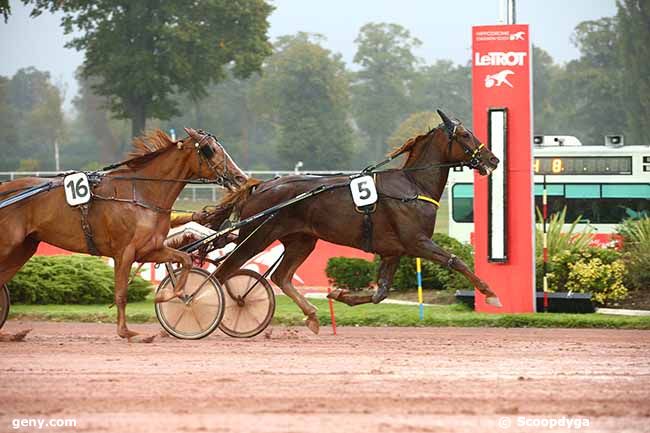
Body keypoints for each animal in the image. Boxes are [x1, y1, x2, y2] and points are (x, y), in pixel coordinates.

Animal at [0, 128, 248, 340]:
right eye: (209, 149)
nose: (240, 178)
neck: (141, 194)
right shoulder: (124, 252)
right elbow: (121, 293)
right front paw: (127, 332)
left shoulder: (150, 249)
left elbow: (185, 259)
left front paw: (165, 296)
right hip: (9, 246)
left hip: (23, 248)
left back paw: (9, 334)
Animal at [177, 110, 502, 330]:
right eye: (464, 135)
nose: (493, 159)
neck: (412, 187)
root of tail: (261, 186)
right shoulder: (416, 242)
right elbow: (455, 261)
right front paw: (490, 294)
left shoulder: (394, 250)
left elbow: (381, 292)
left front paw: (339, 293)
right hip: (257, 236)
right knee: (222, 273)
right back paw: (193, 309)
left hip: (301, 240)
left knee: (280, 276)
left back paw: (310, 314)